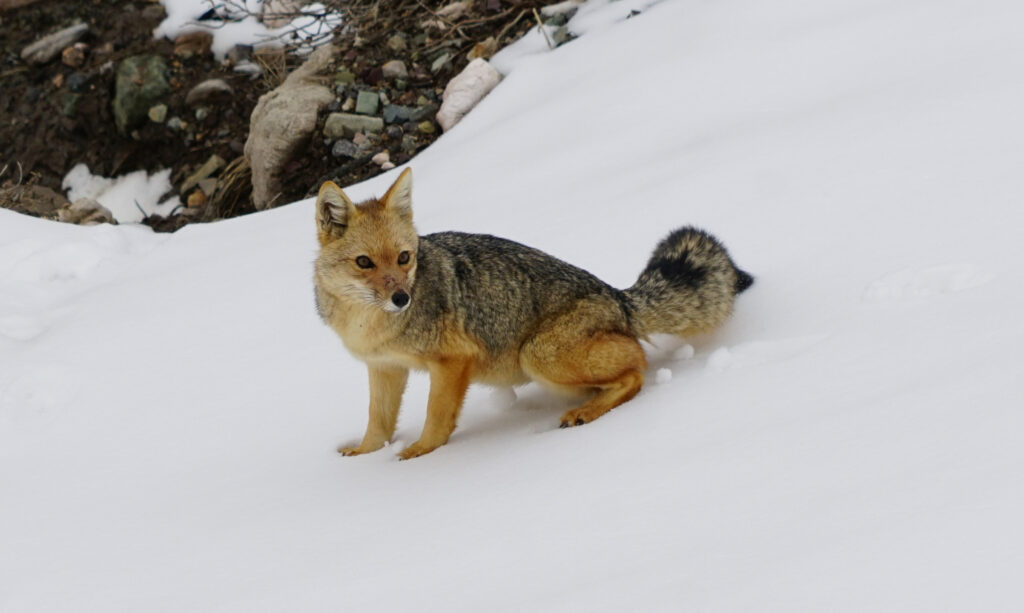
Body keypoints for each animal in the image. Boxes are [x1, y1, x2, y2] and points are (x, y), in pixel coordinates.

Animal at [311, 168, 753, 460]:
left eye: (404, 258)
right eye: (365, 262)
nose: (402, 297)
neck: (370, 323)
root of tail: (618, 296)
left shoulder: (453, 362)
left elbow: (437, 418)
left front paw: (418, 455)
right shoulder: (384, 368)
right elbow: (378, 422)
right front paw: (364, 455)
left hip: (538, 356)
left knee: (637, 367)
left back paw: (586, 413)